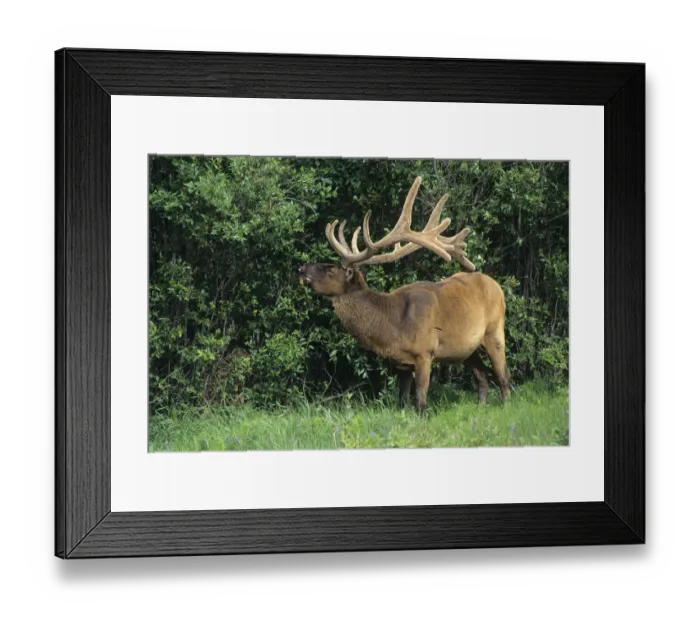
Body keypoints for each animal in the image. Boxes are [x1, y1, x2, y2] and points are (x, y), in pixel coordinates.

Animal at [299, 176, 510, 416]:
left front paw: (422, 419)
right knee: (482, 376)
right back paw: (481, 407)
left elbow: (420, 399)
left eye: (329, 269)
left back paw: (506, 406)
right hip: (466, 348)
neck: (393, 326)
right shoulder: (401, 362)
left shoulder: (425, 352)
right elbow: (402, 401)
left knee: (503, 374)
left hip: (494, 329)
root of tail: (496, 285)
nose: (301, 268)